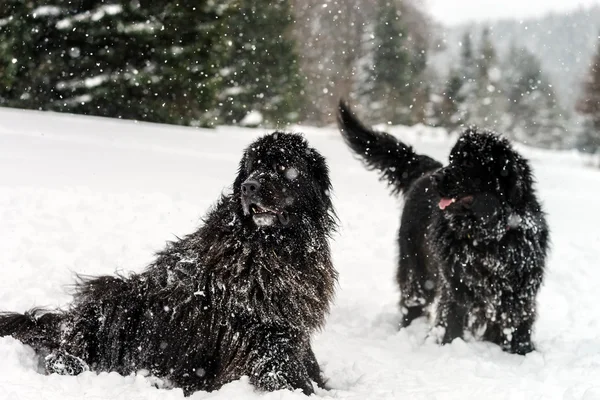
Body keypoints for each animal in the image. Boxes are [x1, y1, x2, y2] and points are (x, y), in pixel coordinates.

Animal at [0, 133, 338, 396]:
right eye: (253, 166)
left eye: (283, 167)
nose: (249, 186)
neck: (275, 245)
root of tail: (66, 321)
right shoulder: (260, 328)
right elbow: (282, 367)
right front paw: (303, 391)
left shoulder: (291, 322)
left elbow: (306, 360)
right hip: (115, 303)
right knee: (64, 356)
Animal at [338, 101, 548, 354]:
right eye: (452, 158)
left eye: (467, 163)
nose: (437, 178)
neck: (488, 236)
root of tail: (425, 170)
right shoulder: (456, 281)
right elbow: (452, 317)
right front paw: (449, 344)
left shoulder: (521, 286)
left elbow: (517, 320)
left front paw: (521, 351)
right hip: (416, 266)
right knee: (413, 299)